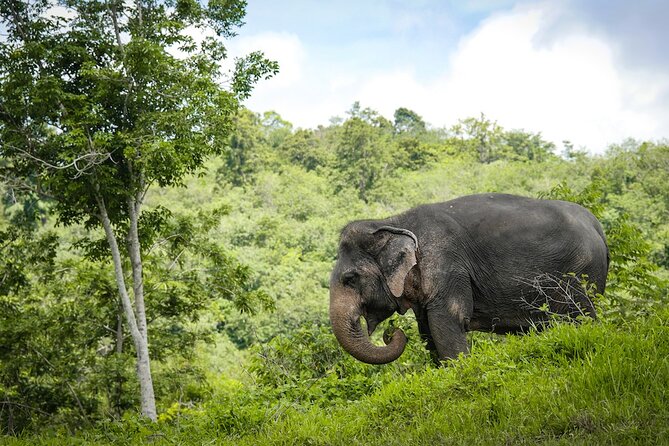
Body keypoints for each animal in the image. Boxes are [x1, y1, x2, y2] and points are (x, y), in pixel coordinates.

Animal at [329, 193, 609, 364]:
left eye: (350, 278)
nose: (391, 333)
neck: (393, 221)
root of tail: (598, 226)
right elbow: (427, 330)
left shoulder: (447, 266)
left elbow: (447, 322)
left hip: (580, 273)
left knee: (580, 317)